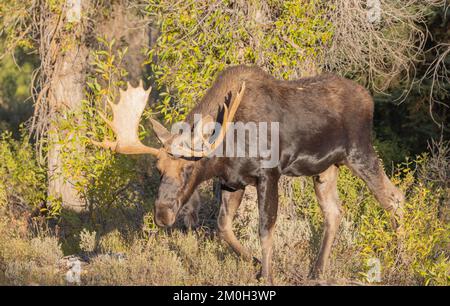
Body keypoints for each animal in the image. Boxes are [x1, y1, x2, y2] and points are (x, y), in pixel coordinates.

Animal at [91, 65, 404, 284]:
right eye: (158, 170)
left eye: (188, 168)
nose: (162, 214)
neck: (228, 146)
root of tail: (369, 98)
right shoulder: (232, 182)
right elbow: (223, 227)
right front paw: (254, 264)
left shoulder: (269, 174)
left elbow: (265, 229)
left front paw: (267, 274)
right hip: (325, 168)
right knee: (334, 212)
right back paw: (316, 272)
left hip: (359, 151)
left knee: (394, 197)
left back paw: (399, 259)